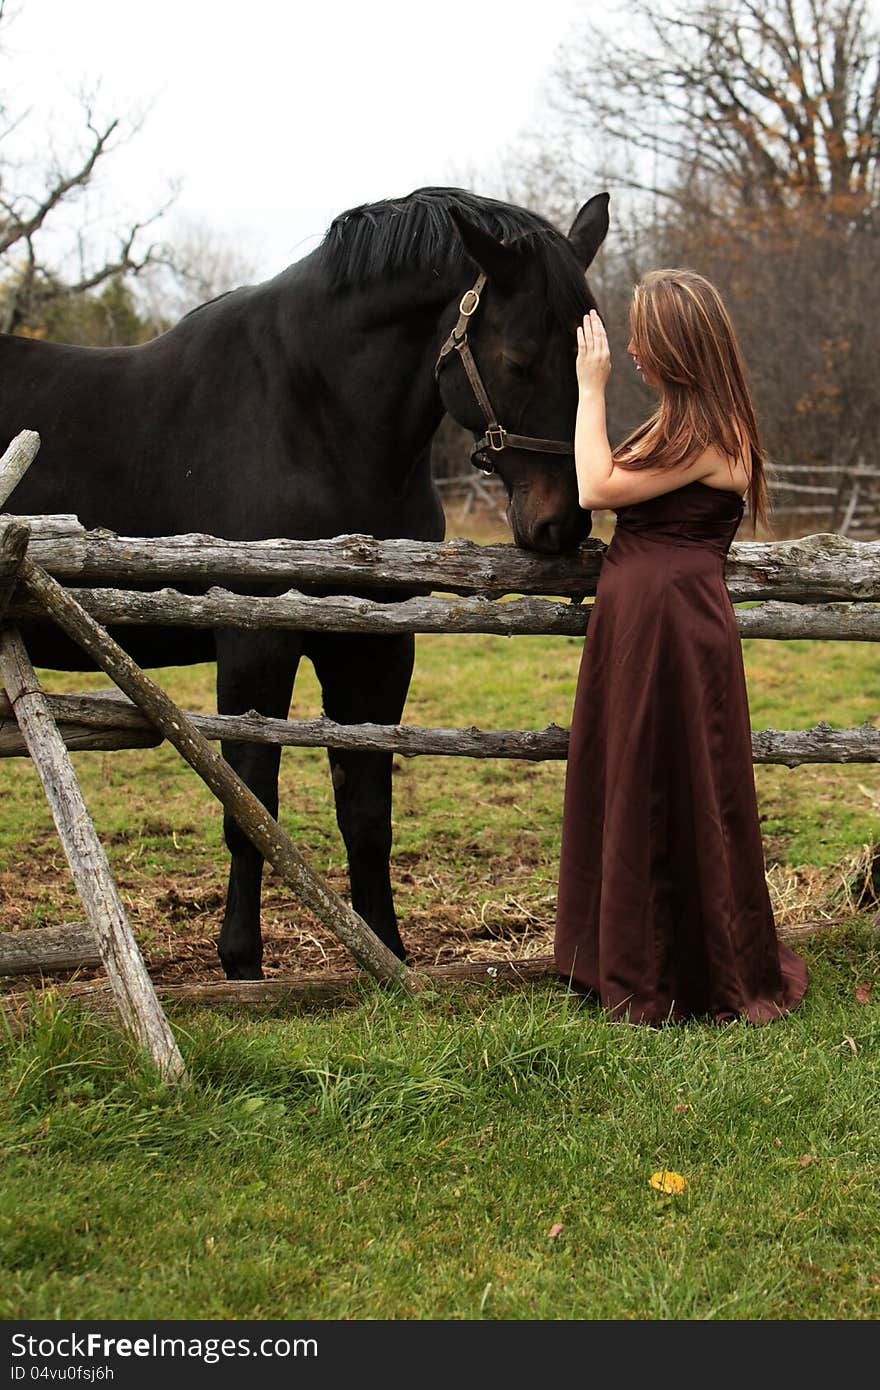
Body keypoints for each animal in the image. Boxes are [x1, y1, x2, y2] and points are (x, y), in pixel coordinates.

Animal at [0, 187, 606, 978]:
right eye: (519, 359)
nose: (560, 523)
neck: (314, 417)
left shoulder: (376, 646)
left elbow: (367, 809)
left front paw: (387, 956)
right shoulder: (257, 642)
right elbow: (250, 804)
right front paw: (242, 965)